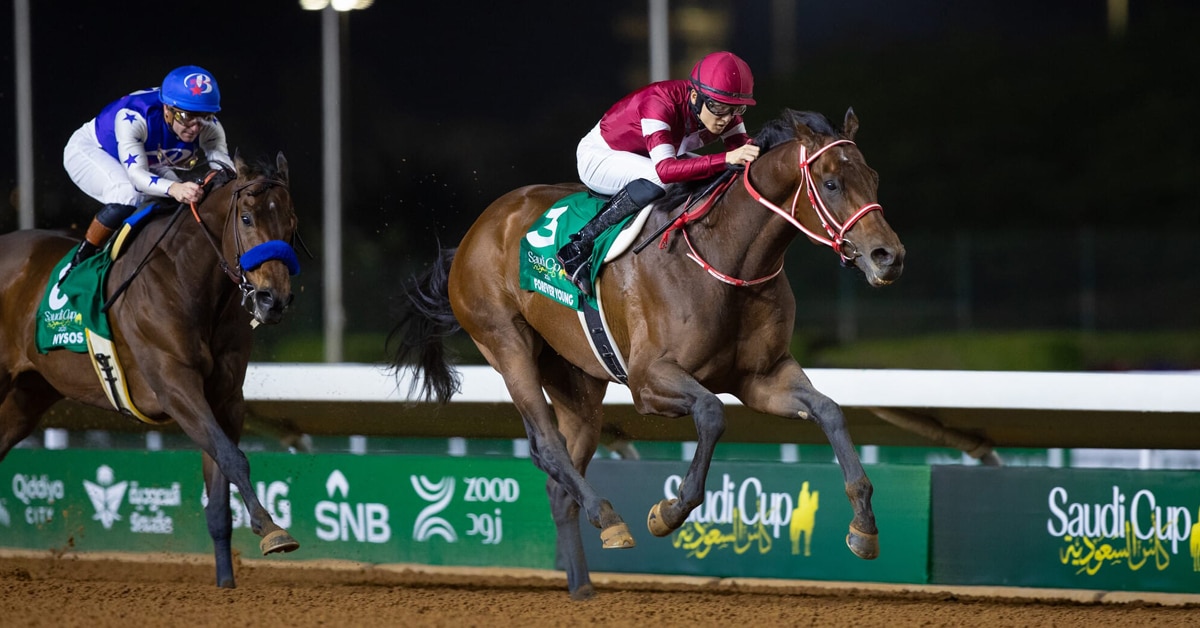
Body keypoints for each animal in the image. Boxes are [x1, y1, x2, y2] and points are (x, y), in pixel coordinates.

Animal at [0, 153, 301, 588]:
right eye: (246, 218)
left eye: (291, 221)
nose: (272, 299)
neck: (187, 280)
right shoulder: (175, 386)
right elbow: (234, 458)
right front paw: (272, 529)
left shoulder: (226, 398)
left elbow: (219, 484)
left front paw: (226, 583)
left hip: (31, 392)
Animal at [388, 108, 905, 599]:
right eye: (832, 183)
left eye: (874, 177)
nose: (889, 256)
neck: (727, 257)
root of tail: (478, 229)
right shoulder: (648, 380)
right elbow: (712, 412)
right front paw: (669, 512)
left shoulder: (763, 377)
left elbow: (829, 410)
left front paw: (864, 528)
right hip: (506, 343)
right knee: (549, 444)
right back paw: (609, 518)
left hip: (575, 380)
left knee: (561, 480)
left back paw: (583, 586)